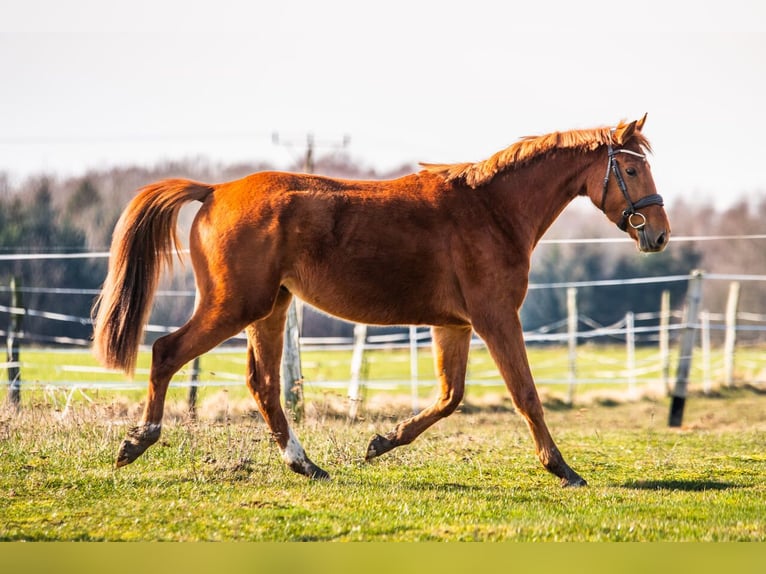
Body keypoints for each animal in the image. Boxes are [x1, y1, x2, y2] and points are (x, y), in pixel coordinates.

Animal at [93, 115, 672, 488]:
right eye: (633, 170)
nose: (659, 234)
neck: (491, 210)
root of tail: (214, 191)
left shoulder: (455, 325)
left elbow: (449, 397)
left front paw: (381, 441)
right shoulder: (495, 318)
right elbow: (525, 394)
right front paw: (563, 469)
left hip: (270, 309)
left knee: (263, 385)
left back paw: (306, 465)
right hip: (235, 307)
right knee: (166, 352)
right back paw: (137, 443)